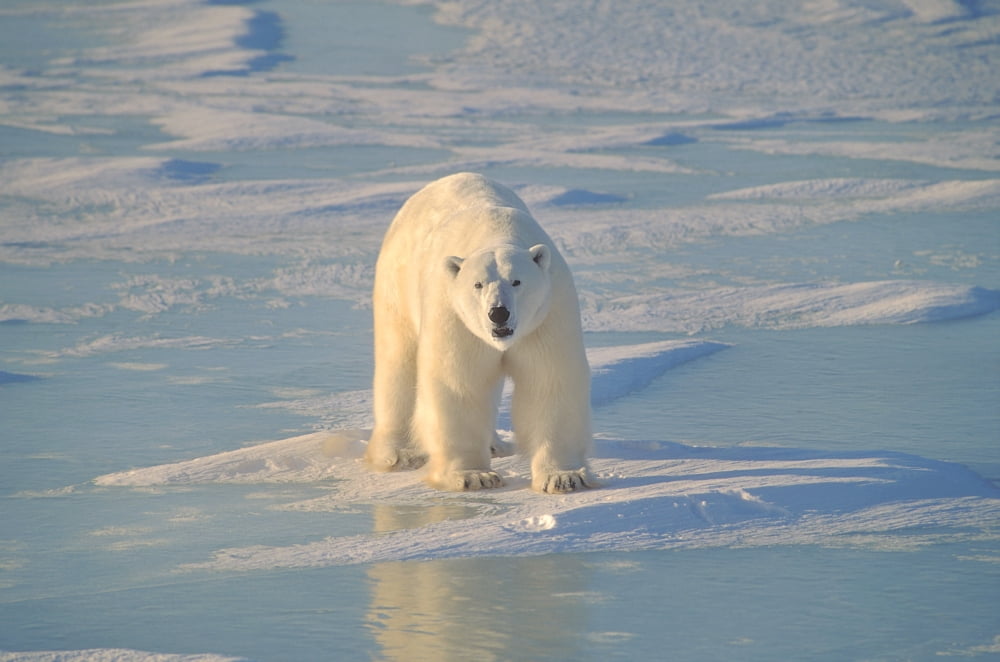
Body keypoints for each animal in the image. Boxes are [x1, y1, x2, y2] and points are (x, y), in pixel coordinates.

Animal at [365, 172, 595, 493]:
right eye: (478, 284)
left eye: (516, 281)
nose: (498, 313)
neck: (494, 232)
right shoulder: (454, 315)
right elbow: (459, 383)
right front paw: (474, 476)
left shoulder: (547, 314)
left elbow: (549, 380)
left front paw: (563, 476)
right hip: (396, 284)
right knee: (398, 361)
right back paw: (399, 453)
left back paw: (496, 445)